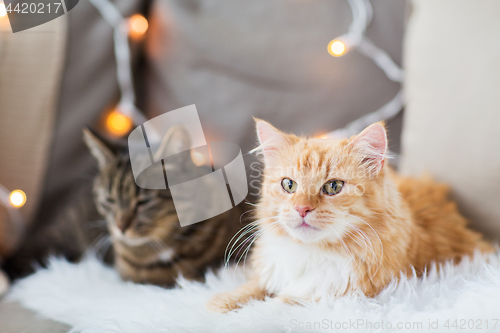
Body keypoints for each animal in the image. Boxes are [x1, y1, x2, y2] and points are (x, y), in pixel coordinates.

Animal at [207, 120, 492, 312]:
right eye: (289, 185)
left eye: (333, 187)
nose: (302, 209)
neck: (312, 253)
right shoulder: (272, 273)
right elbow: (250, 290)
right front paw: (222, 302)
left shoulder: (327, 293)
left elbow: (273, 305)